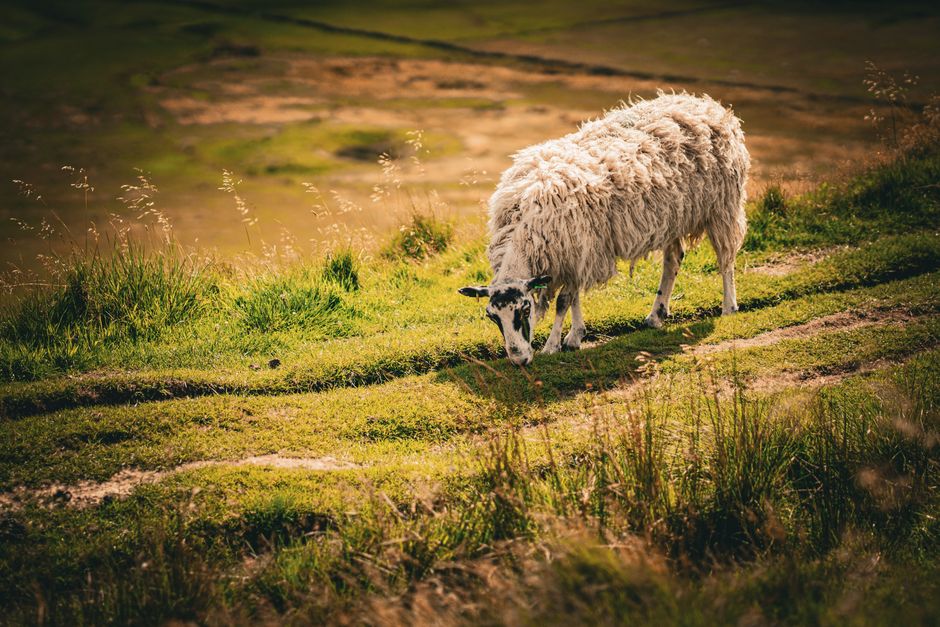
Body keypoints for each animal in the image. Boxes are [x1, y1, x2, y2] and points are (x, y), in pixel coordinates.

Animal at [459, 92, 749, 366]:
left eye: (525, 309)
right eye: (492, 317)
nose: (520, 360)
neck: (524, 227)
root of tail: (709, 105)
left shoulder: (579, 251)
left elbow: (564, 301)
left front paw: (552, 345)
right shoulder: (574, 253)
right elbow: (573, 299)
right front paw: (575, 336)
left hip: (722, 205)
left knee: (725, 259)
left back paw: (728, 307)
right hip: (674, 216)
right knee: (673, 260)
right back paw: (656, 315)